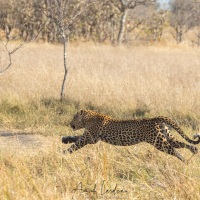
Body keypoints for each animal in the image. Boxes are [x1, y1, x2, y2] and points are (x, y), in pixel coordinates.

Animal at [61, 109, 199, 162]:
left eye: (74, 117)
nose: (70, 124)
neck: (87, 118)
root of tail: (155, 118)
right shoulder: (90, 137)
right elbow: (75, 138)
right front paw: (65, 139)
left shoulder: (88, 138)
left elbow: (75, 145)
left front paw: (63, 154)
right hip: (167, 137)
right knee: (183, 144)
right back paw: (194, 150)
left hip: (159, 142)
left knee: (174, 151)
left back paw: (184, 161)